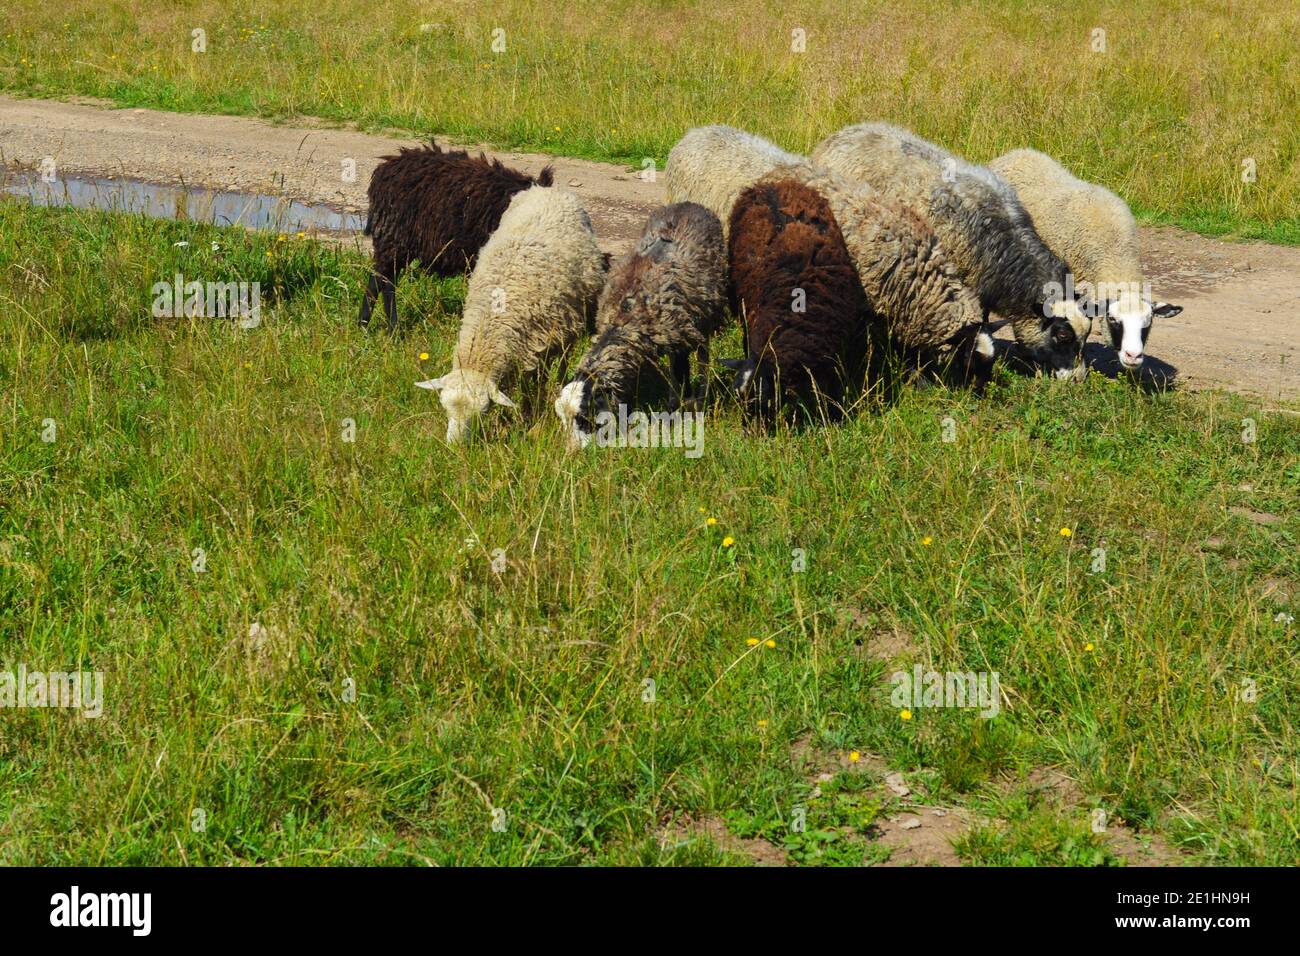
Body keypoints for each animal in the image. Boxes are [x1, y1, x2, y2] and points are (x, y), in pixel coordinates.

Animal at [358, 141, 551, 332]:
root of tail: (385, 169)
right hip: (395, 238)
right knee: (384, 281)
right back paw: (387, 327)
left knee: (381, 278)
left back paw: (368, 325)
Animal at [413, 184, 605, 442]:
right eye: (444, 407)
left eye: (483, 411)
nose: (455, 446)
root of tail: (546, 189)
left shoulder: (538, 344)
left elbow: (532, 386)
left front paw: (528, 418)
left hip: (568, 323)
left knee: (564, 358)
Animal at [551, 201, 728, 447]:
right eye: (563, 421)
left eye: (583, 418)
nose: (571, 451)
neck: (625, 316)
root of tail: (690, 204)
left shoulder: (676, 339)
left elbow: (678, 379)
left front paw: (675, 419)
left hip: (705, 316)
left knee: (703, 358)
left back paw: (700, 399)